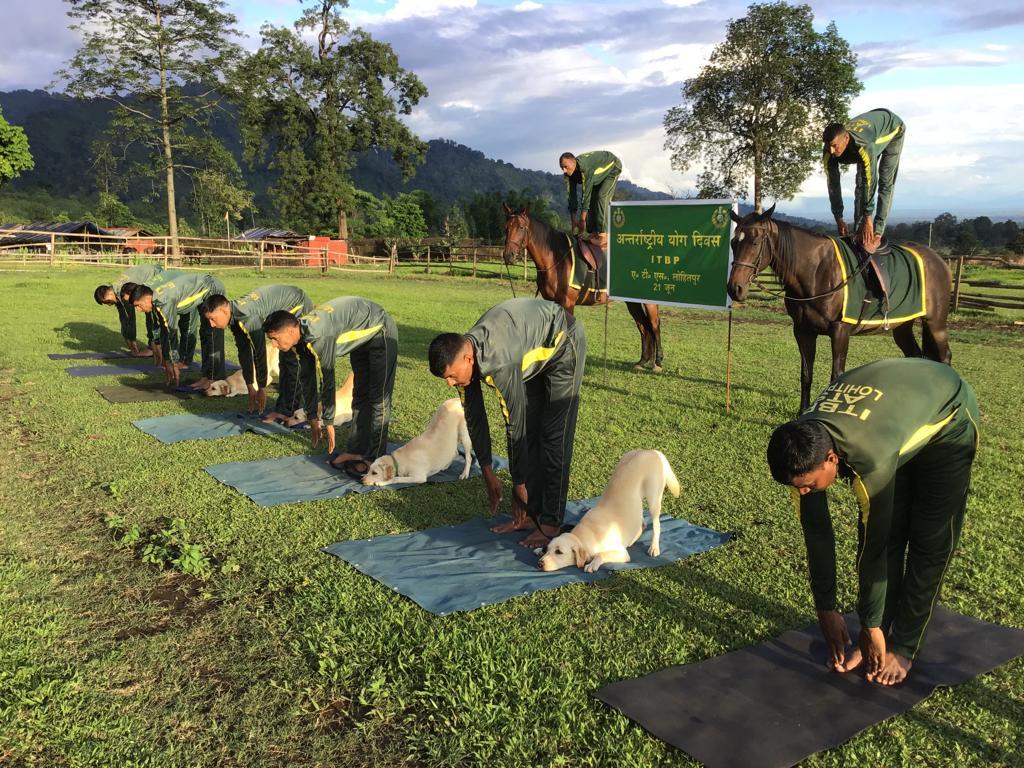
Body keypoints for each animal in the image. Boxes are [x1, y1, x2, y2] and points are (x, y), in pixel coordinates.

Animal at [501, 205, 663, 370]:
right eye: (506, 228)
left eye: (521, 227)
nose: (508, 255)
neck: (557, 258)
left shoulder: (568, 303)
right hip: (632, 302)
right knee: (643, 326)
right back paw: (643, 360)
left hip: (649, 303)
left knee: (654, 325)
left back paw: (657, 362)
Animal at [536, 450, 679, 573]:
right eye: (548, 549)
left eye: (559, 552)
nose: (539, 563)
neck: (585, 535)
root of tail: (651, 451)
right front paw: (539, 549)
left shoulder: (622, 553)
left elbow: (601, 554)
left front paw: (592, 564)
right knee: (641, 522)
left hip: (653, 499)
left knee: (656, 525)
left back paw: (654, 547)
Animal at [729, 204, 950, 409]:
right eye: (733, 243)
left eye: (755, 242)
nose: (734, 288)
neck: (817, 271)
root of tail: (939, 260)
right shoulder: (803, 331)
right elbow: (806, 375)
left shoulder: (840, 331)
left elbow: (836, 376)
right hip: (902, 326)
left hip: (935, 323)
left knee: (945, 357)